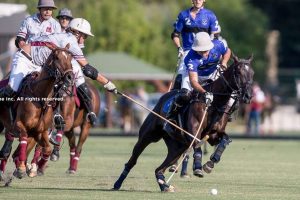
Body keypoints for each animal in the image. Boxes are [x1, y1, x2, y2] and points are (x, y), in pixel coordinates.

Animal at [113, 54, 254, 192]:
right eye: (239, 72)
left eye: (252, 73)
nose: (248, 96)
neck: (214, 103)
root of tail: (164, 96)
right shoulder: (194, 131)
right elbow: (198, 144)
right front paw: (198, 167)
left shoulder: (214, 136)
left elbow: (225, 140)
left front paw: (210, 163)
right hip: (147, 136)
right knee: (132, 161)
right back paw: (117, 183)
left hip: (177, 147)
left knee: (159, 168)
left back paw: (164, 185)